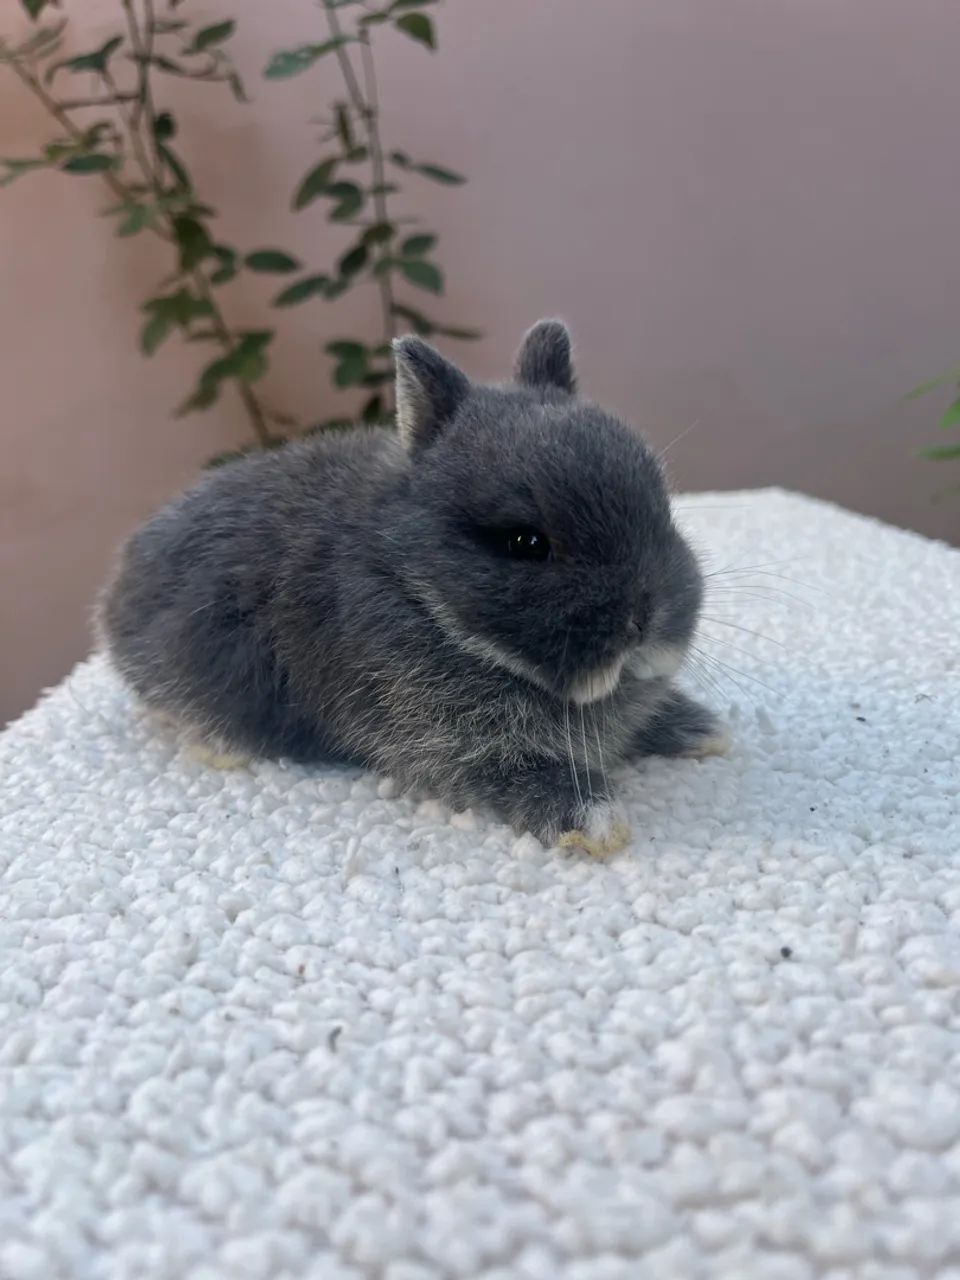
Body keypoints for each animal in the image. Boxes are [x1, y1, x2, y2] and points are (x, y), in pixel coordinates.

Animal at [99, 320, 725, 855]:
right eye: (525, 542)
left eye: (661, 503)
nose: (646, 620)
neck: (420, 591)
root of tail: (117, 587)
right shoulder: (451, 744)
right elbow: (524, 775)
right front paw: (596, 822)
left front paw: (702, 729)